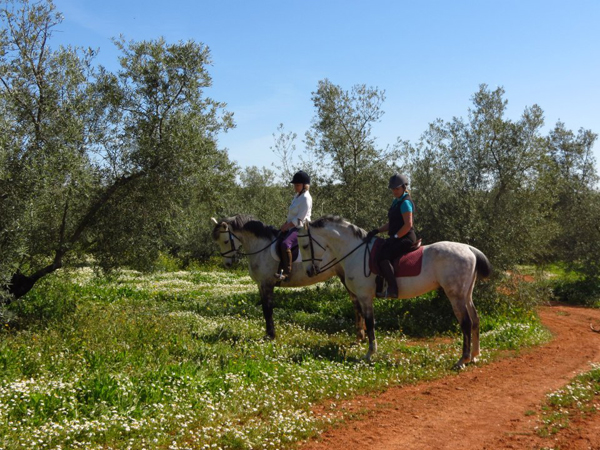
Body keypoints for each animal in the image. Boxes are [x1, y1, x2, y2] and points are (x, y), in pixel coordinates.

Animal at [298, 217, 490, 370]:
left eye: (305, 245)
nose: (309, 271)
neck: (356, 252)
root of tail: (469, 249)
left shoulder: (365, 297)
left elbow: (370, 323)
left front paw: (370, 353)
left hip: (455, 296)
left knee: (466, 323)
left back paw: (463, 359)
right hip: (466, 295)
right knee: (475, 320)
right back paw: (474, 355)